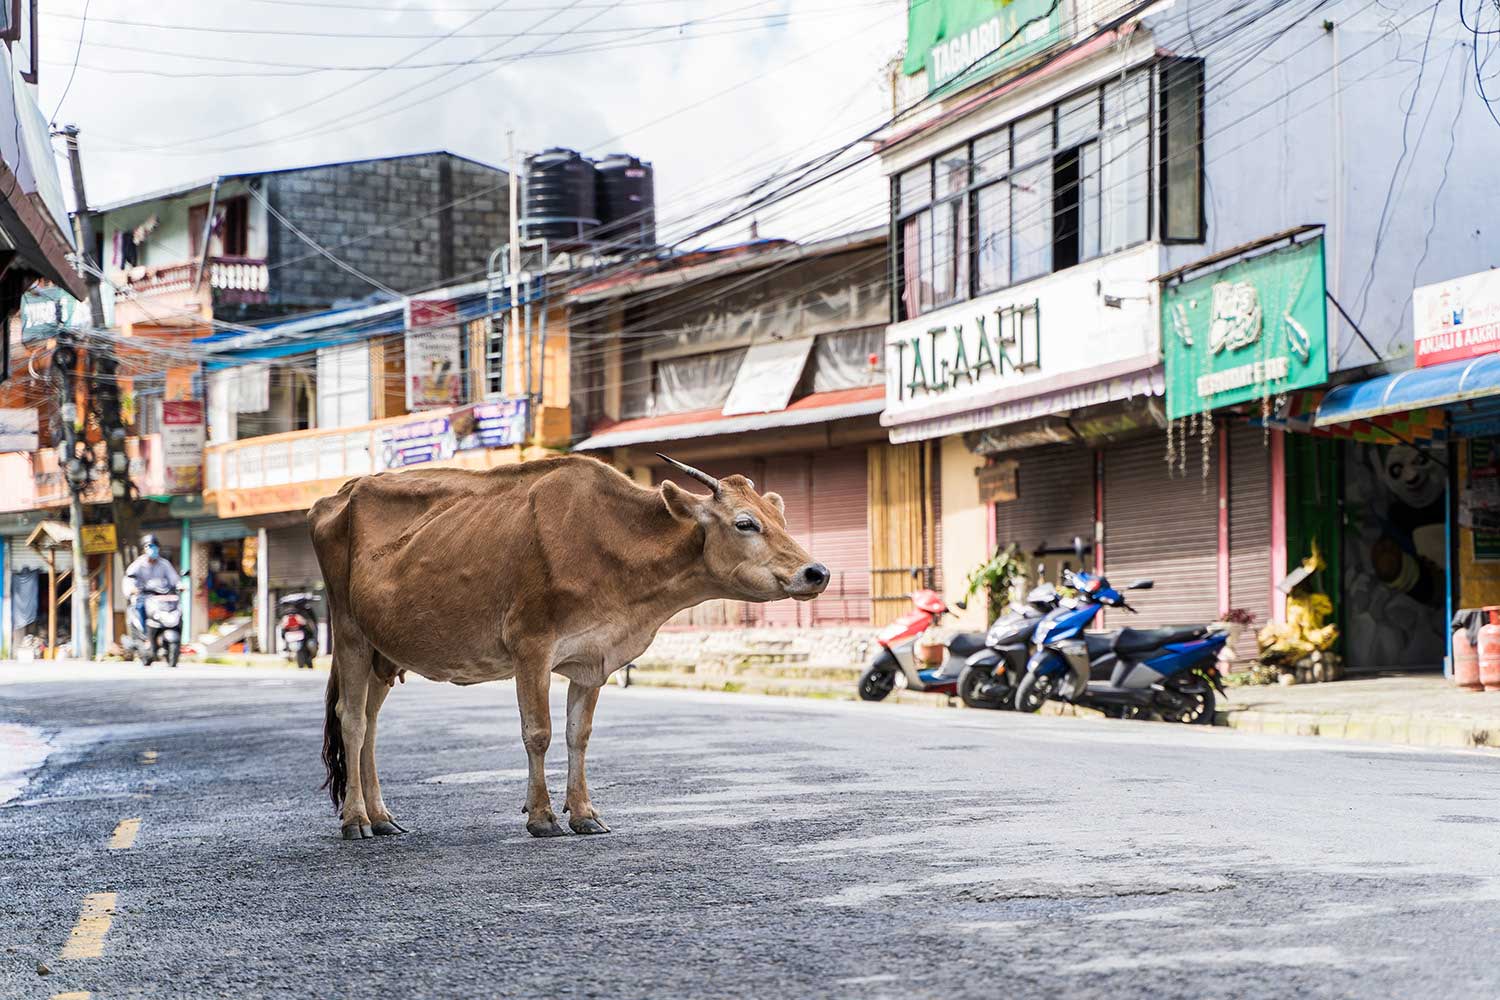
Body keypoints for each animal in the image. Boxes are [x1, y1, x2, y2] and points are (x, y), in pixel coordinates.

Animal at [310, 452, 829, 840]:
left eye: (780, 516)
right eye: (745, 523)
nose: (816, 571)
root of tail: (340, 493)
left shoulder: (592, 657)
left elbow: (578, 734)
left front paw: (583, 813)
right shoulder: (530, 646)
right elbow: (537, 732)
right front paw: (541, 816)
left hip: (383, 649)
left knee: (371, 724)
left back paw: (382, 817)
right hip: (350, 633)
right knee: (352, 721)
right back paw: (356, 820)